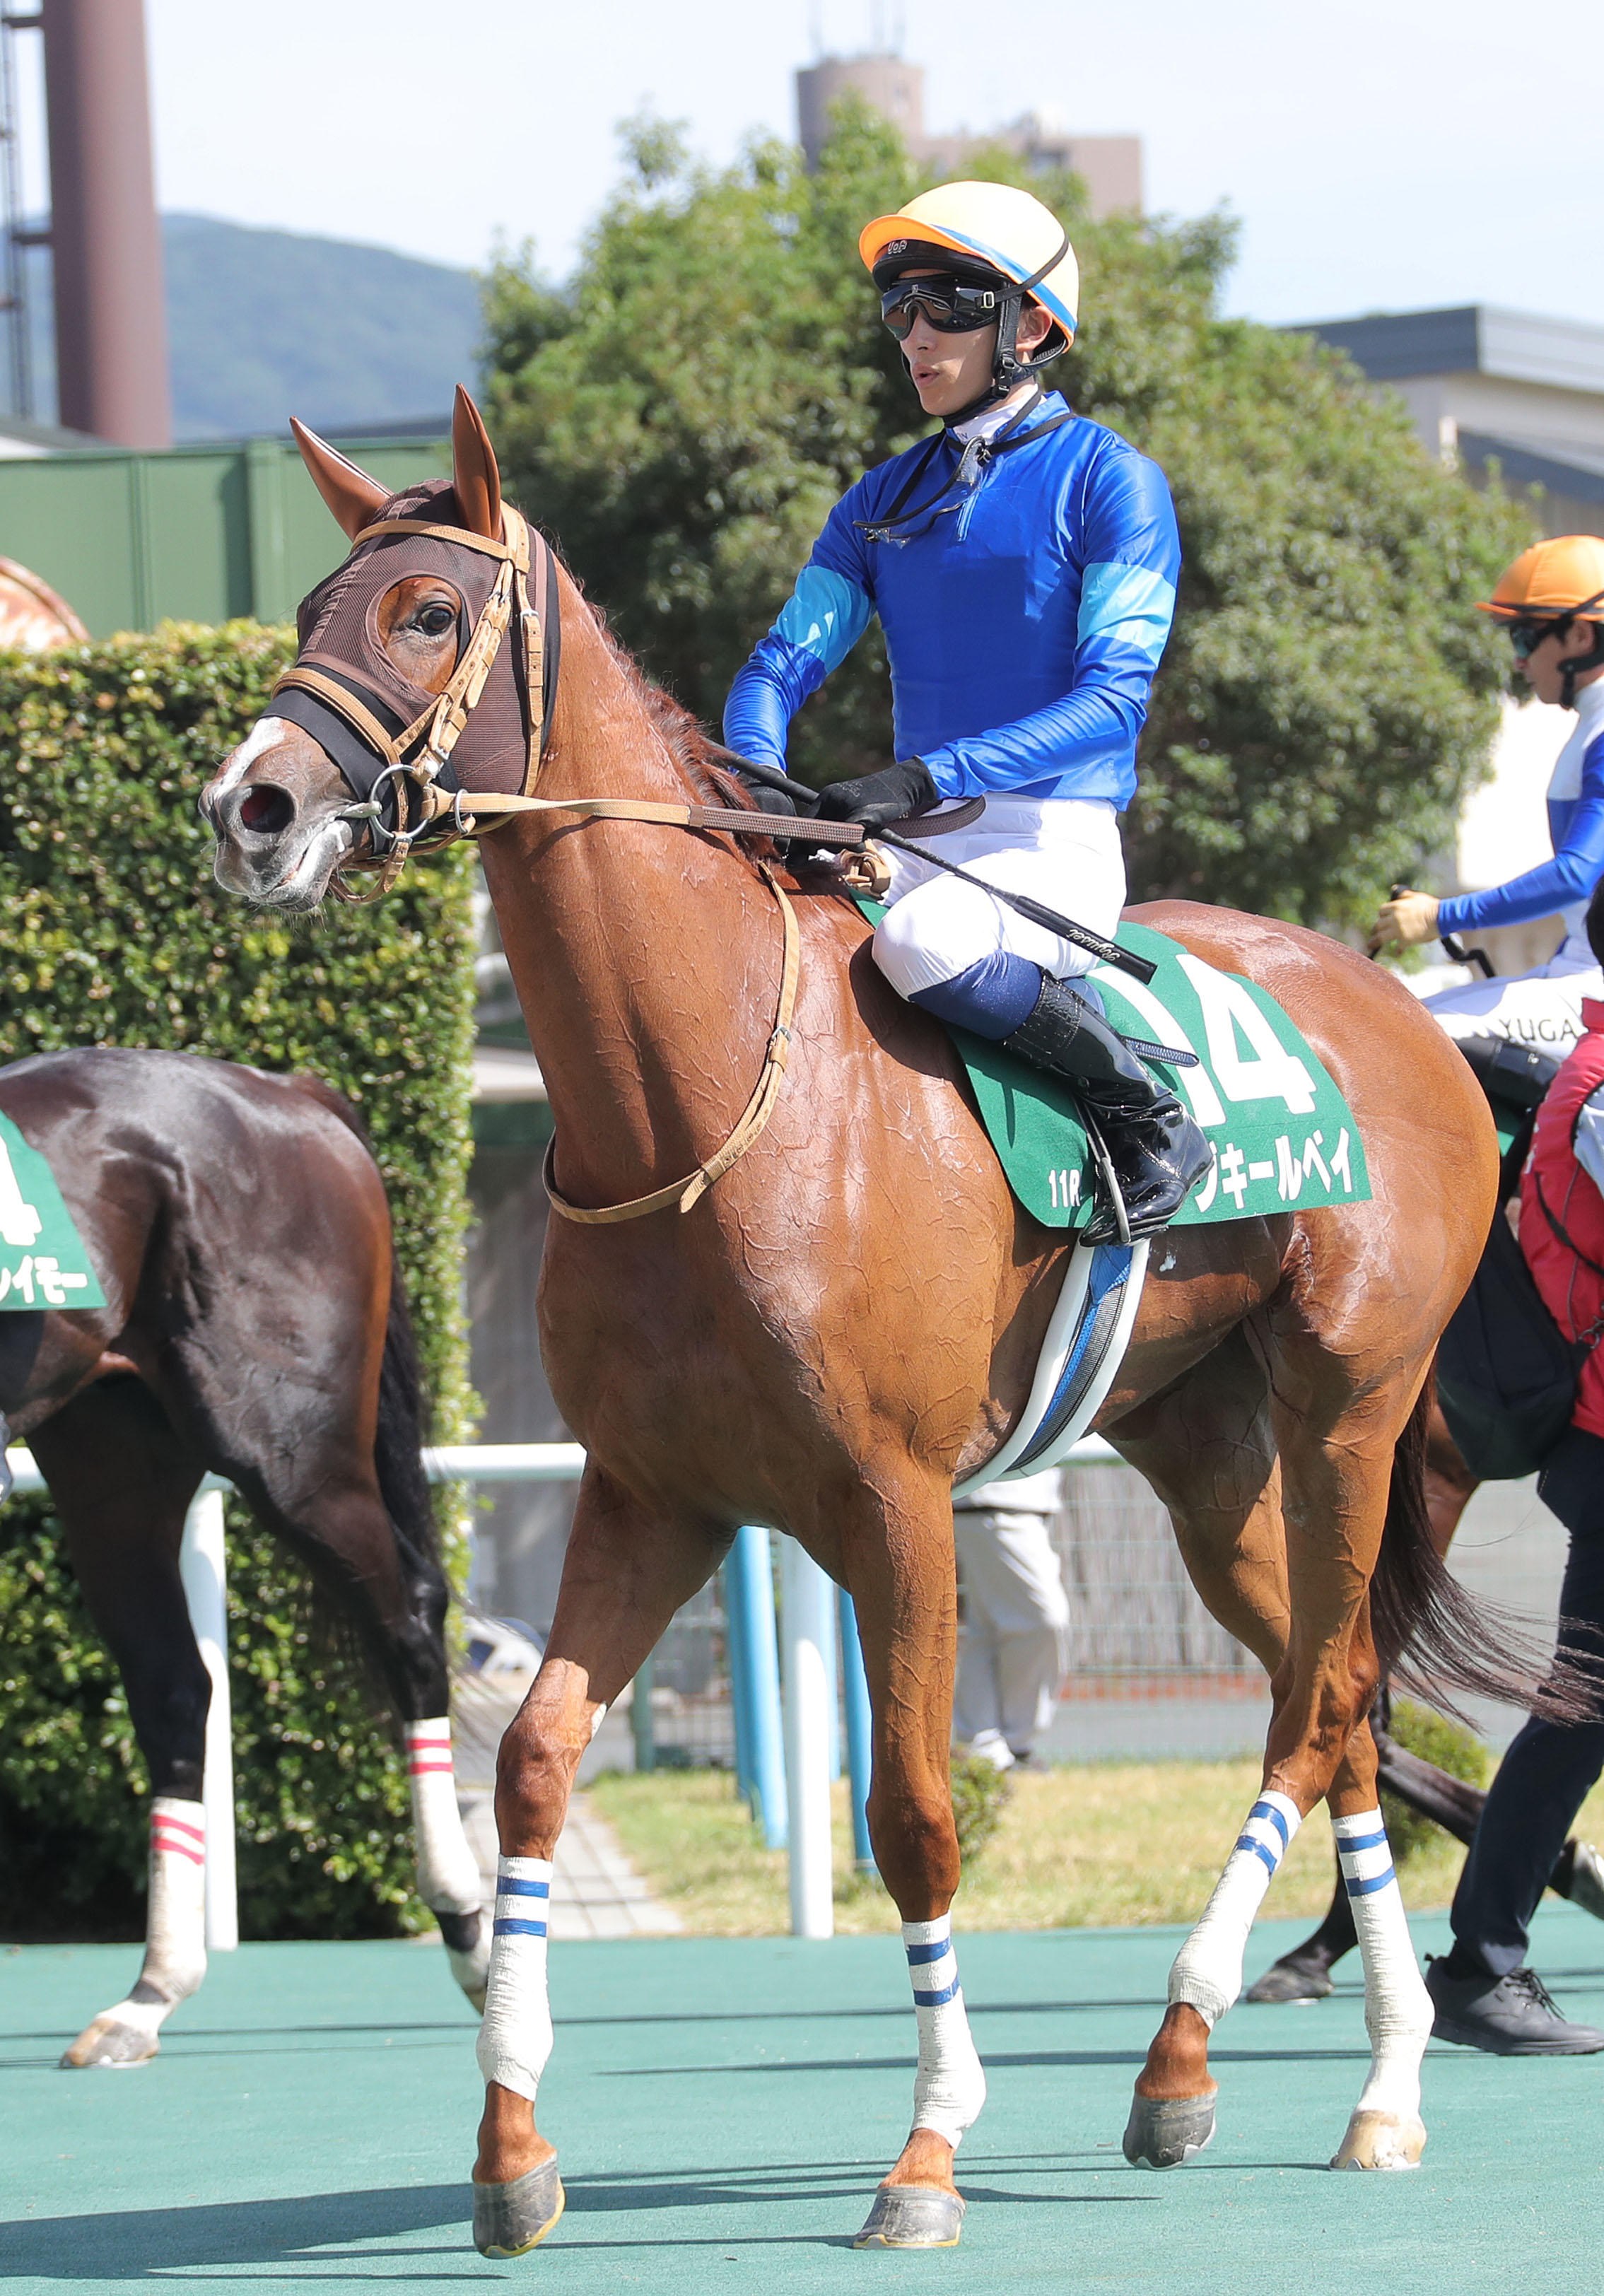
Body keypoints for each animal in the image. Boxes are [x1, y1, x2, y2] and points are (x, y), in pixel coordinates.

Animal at [0, 1047, 488, 2063]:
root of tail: (286, 1092)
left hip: (291, 1456)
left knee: (411, 1632)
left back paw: (467, 1924)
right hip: (113, 1462)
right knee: (173, 1689)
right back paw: (150, 1994)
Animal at [202, 386, 1535, 2249]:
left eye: (426, 612)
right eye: (316, 604)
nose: (249, 809)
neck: (696, 1108)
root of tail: (1398, 1007)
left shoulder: (897, 1507)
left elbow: (912, 1812)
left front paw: (926, 2153)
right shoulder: (654, 1498)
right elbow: (533, 1760)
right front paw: (512, 2149)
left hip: (1347, 1400)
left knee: (1327, 1689)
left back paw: (1267, 2057)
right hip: (1200, 1449)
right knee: (1328, 1693)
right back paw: (1312, 2075)